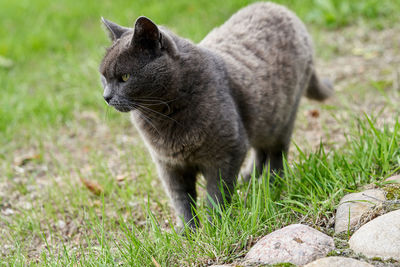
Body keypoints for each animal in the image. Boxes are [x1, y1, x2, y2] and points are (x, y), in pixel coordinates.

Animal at [99, 1, 332, 229]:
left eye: (125, 77)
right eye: (104, 77)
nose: (106, 96)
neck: (162, 116)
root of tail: (280, 8)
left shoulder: (228, 151)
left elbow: (216, 194)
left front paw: (215, 227)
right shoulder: (169, 165)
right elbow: (181, 200)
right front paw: (188, 231)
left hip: (283, 117)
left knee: (277, 152)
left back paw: (272, 184)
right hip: (262, 119)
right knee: (260, 149)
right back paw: (249, 180)